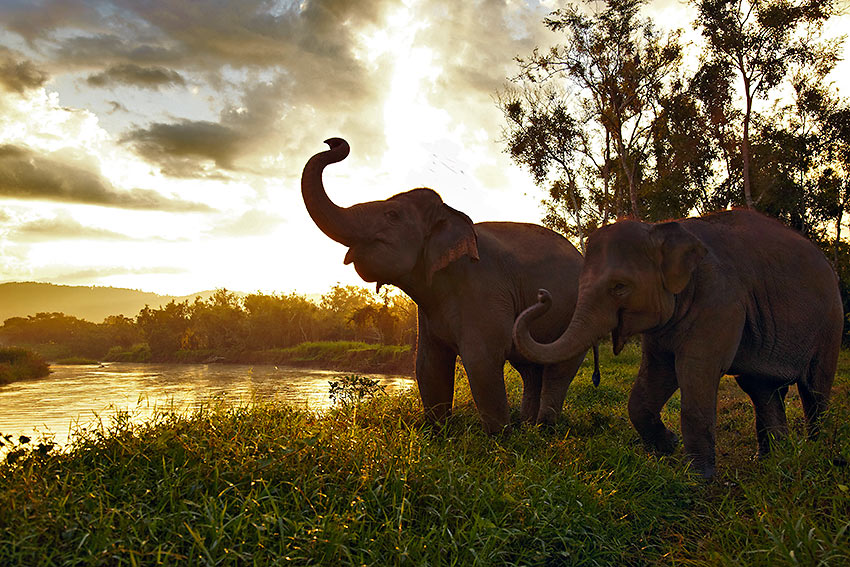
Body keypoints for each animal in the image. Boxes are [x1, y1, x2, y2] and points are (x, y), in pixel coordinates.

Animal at [302, 139, 600, 434]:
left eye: (392, 214)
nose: (333, 142)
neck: (451, 213)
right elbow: (428, 364)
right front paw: (436, 432)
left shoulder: (483, 288)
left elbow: (481, 359)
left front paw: (499, 437)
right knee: (530, 368)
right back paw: (528, 425)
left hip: (575, 314)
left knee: (558, 368)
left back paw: (544, 428)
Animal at [510, 210, 840, 480]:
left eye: (619, 287)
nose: (542, 295)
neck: (660, 228)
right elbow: (654, 377)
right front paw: (668, 446)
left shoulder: (720, 299)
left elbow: (695, 371)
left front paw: (698, 480)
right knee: (761, 389)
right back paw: (771, 461)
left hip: (829, 324)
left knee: (814, 389)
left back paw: (817, 455)